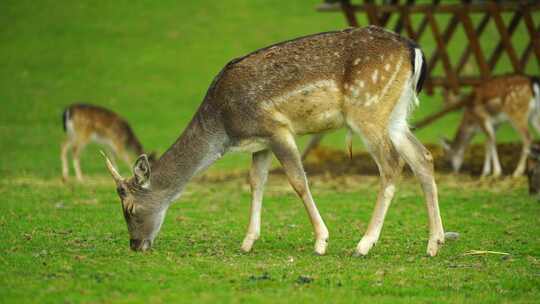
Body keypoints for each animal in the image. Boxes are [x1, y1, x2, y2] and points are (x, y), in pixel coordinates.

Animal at [103, 27, 446, 258]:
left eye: (130, 208)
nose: (135, 245)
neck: (223, 127)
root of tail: (414, 49)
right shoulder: (260, 143)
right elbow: (256, 183)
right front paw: (247, 241)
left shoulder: (277, 129)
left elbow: (298, 181)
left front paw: (321, 241)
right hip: (396, 116)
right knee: (423, 158)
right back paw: (435, 243)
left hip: (367, 109)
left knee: (392, 164)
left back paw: (364, 244)